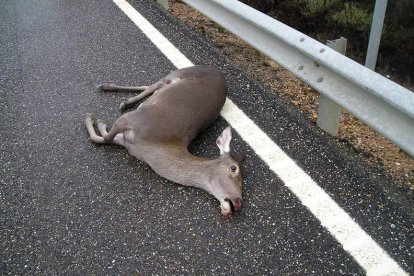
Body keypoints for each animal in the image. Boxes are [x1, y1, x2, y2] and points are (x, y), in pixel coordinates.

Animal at [85, 66, 244, 217]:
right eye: (233, 168)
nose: (238, 202)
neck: (155, 147)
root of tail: (218, 72)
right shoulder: (130, 118)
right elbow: (106, 137)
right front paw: (91, 118)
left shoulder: (129, 143)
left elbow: (102, 138)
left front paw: (99, 122)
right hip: (178, 73)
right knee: (154, 84)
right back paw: (114, 93)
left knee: (152, 86)